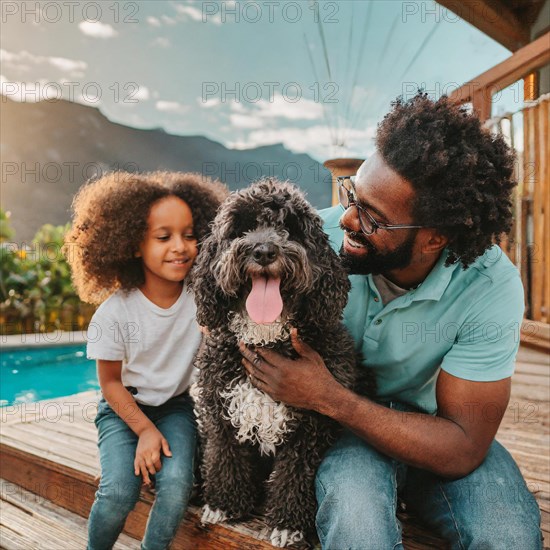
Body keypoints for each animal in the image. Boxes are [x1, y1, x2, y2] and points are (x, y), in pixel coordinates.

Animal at [192, 180, 378, 548]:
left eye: (289, 228)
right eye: (241, 228)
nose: (264, 251)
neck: (266, 339)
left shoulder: (310, 426)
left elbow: (295, 476)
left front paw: (289, 524)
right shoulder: (221, 411)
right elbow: (224, 457)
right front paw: (223, 504)